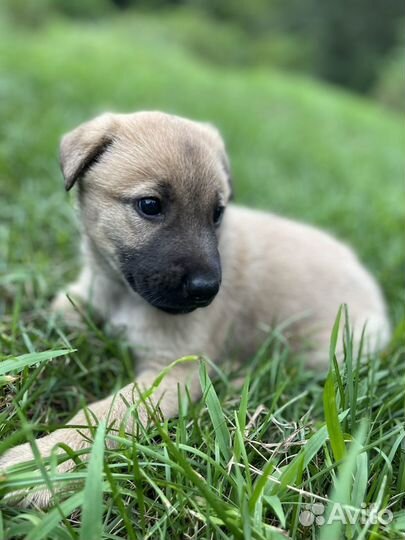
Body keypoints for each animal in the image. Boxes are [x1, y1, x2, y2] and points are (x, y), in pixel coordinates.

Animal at [1, 109, 390, 506]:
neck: (121, 292)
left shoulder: (174, 372)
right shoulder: (79, 301)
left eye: (217, 213)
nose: (207, 291)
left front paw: (41, 464)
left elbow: (105, 413)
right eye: (150, 205)